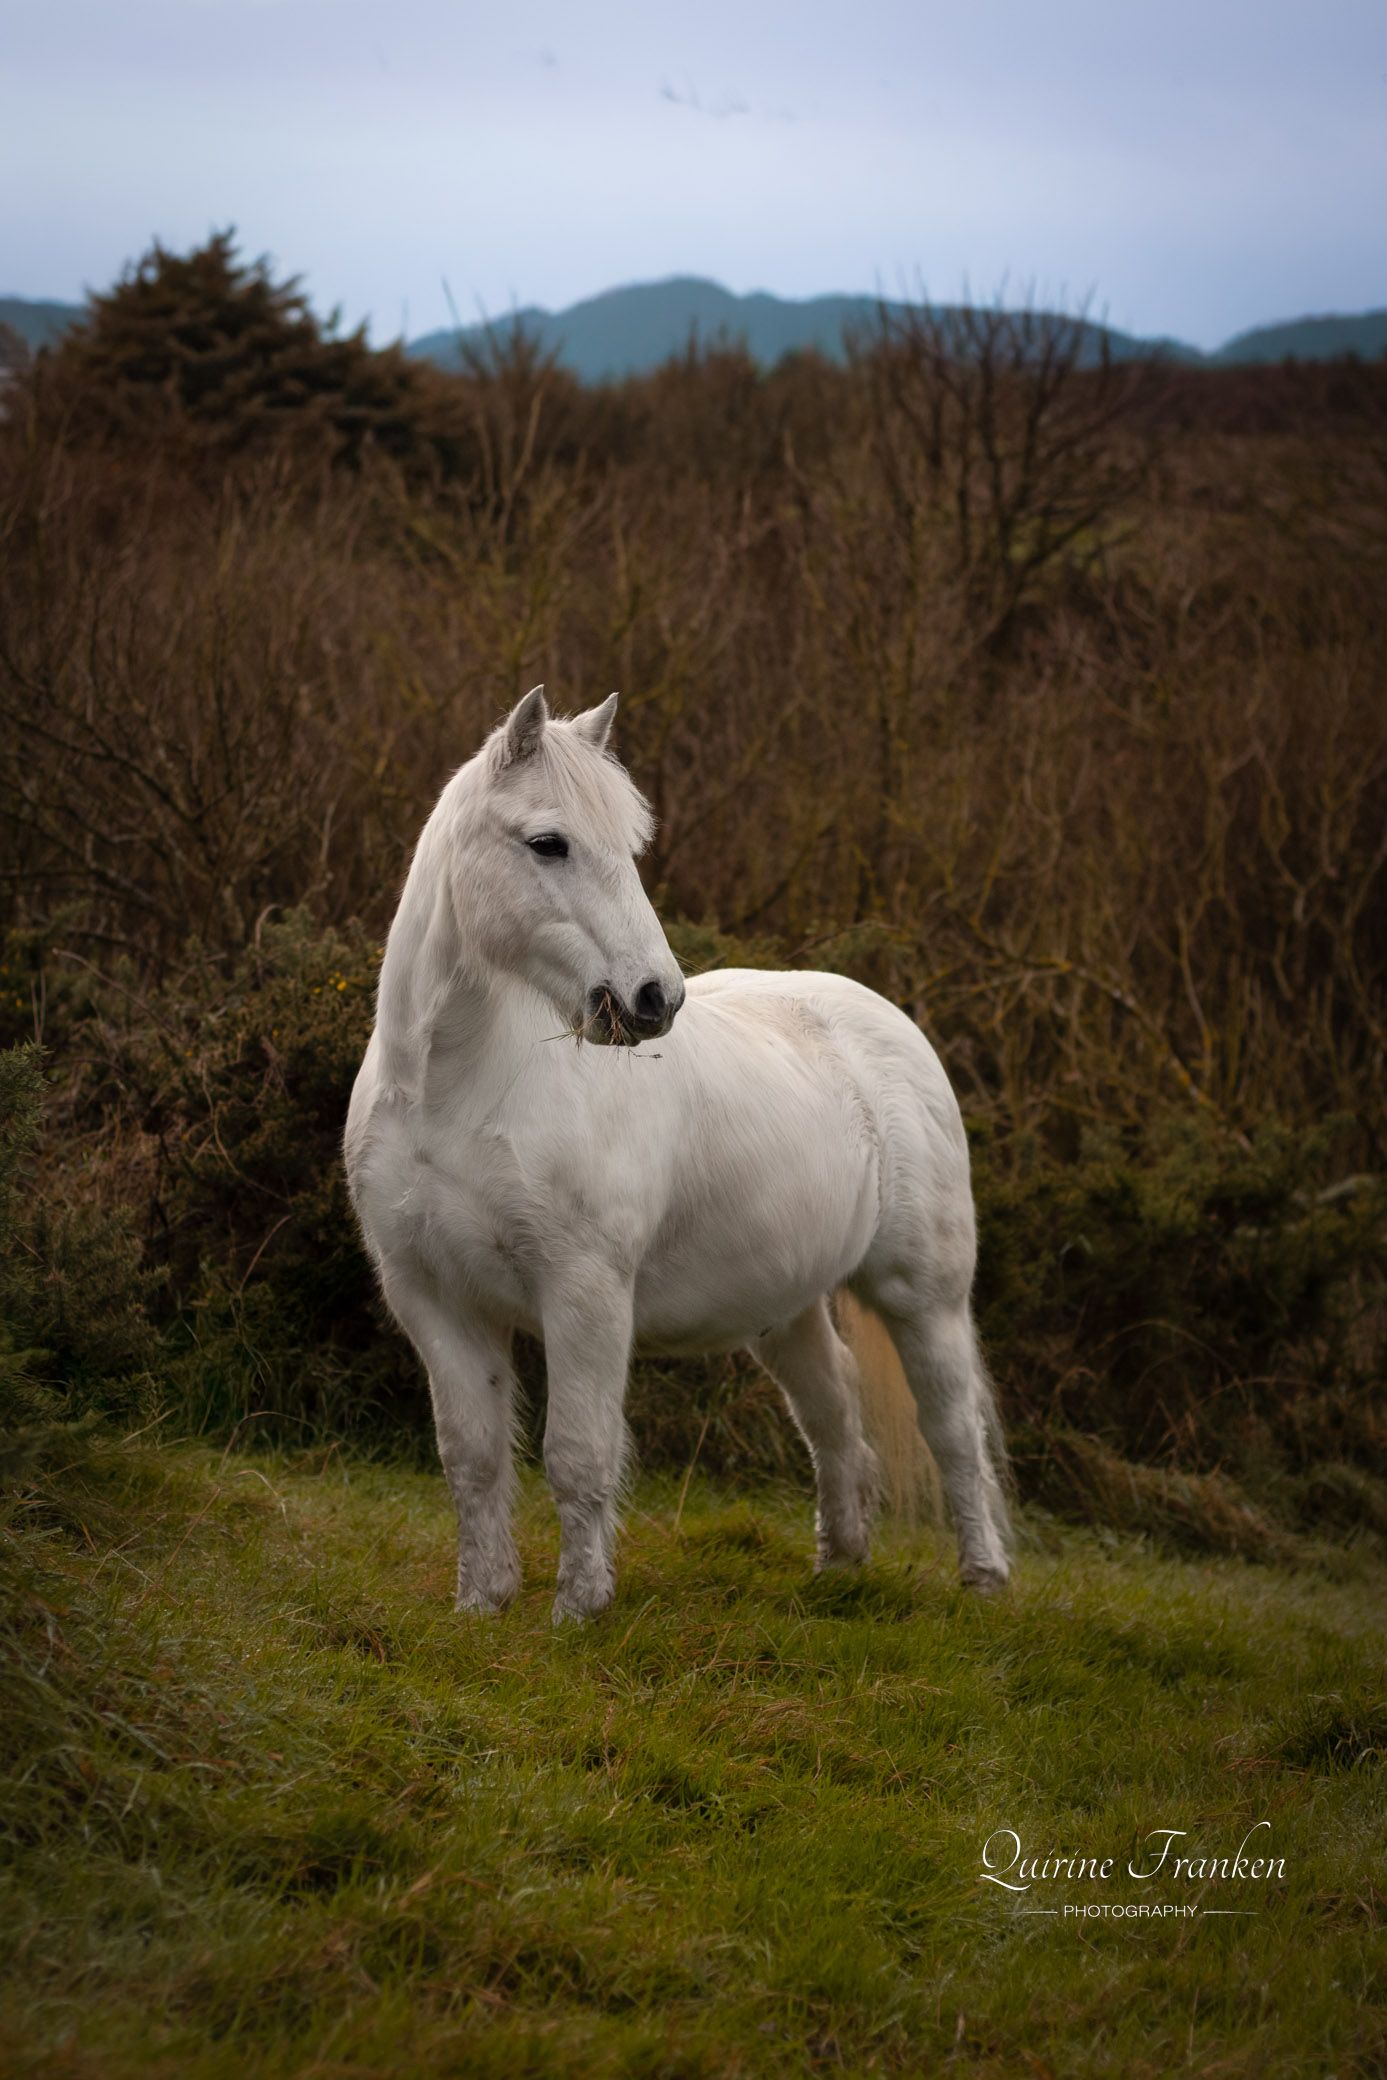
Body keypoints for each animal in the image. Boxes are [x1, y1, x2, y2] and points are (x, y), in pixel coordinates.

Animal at [345, 687, 1009, 1621]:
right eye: (547, 843)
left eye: (628, 851)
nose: (653, 999)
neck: (454, 1093)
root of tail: (885, 1021)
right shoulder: (433, 1299)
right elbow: (471, 1457)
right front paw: (480, 1605)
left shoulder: (583, 1295)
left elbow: (577, 1453)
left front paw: (578, 1610)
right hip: (786, 1306)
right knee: (832, 1410)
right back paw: (840, 1567)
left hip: (922, 1297)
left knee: (950, 1427)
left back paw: (983, 1579)